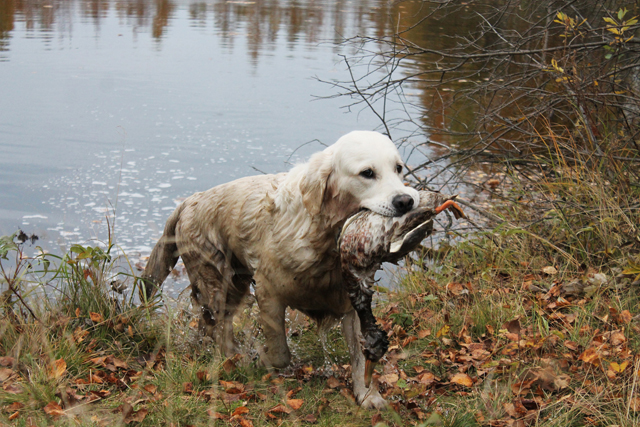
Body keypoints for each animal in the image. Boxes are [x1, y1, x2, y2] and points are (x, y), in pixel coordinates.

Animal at [141, 130, 420, 408]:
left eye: (398, 168)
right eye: (367, 173)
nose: (406, 201)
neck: (324, 238)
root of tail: (190, 200)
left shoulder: (351, 300)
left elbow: (360, 355)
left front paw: (368, 395)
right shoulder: (269, 293)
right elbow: (280, 353)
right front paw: (262, 359)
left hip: (235, 283)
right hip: (216, 280)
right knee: (218, 326)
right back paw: (237, 357)